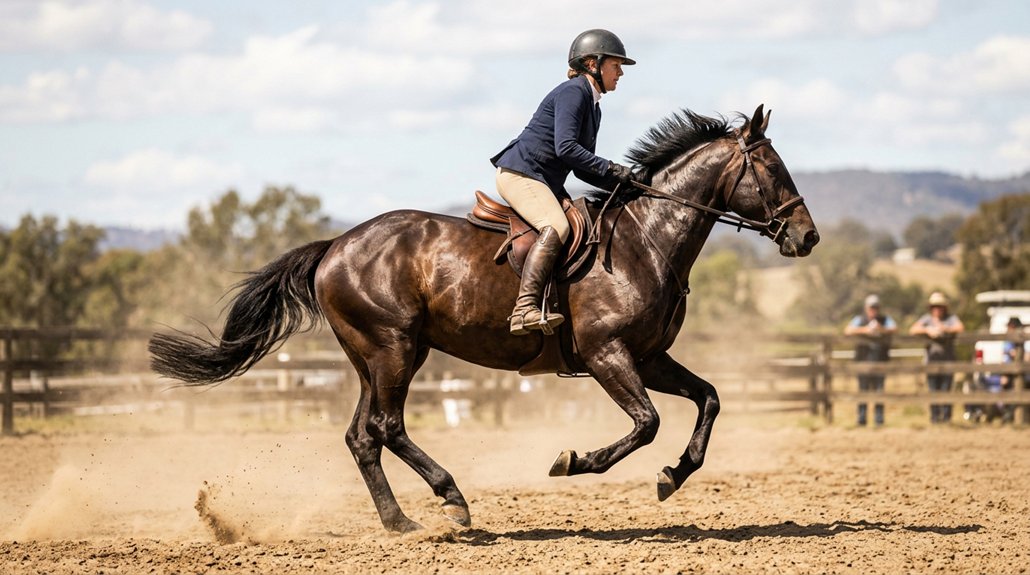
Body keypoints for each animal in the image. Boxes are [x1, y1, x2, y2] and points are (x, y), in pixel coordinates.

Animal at [149, 104, 819, 533]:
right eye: (772, 169)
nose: (806, 237)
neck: (645, 240)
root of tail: (336, 245)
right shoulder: (608, 354)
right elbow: (647, 423)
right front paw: (573, 462)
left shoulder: (649, 356)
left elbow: (707, 399)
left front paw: (673, 477)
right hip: (394, 348)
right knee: (387, 427)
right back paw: (453, 500)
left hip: (377, 356)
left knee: (363, 436)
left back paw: (401, 523)